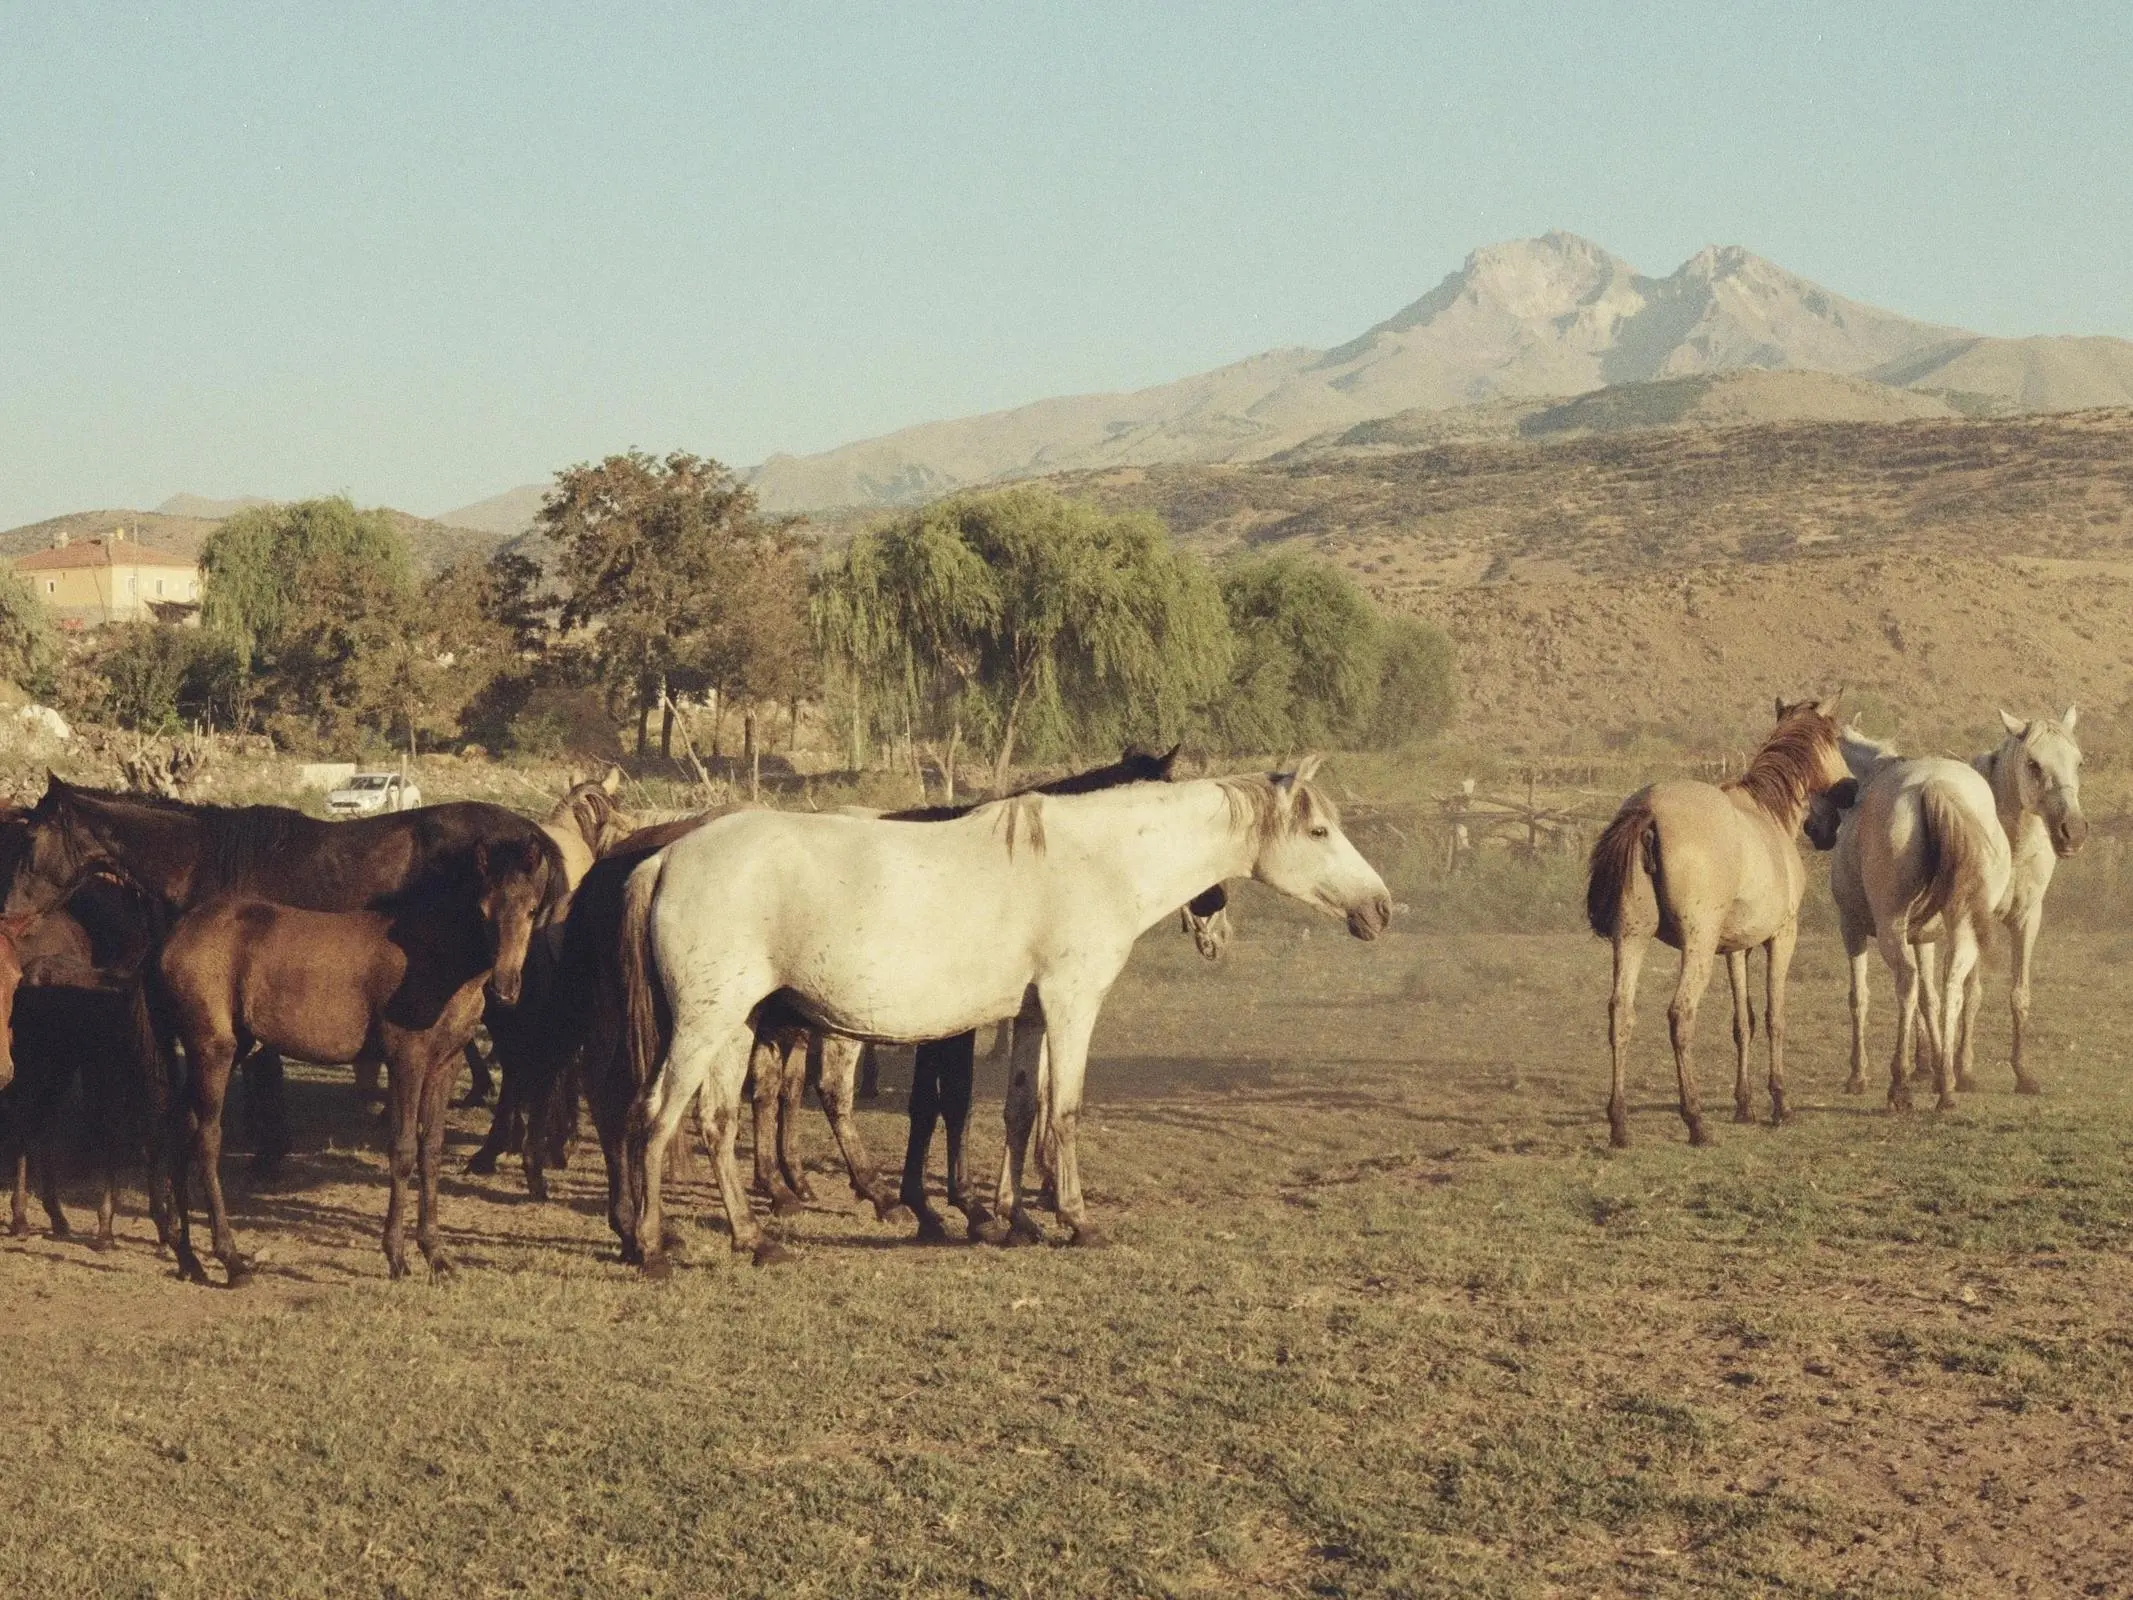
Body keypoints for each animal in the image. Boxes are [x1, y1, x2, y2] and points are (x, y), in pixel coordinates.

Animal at [161, 832, 554, 1288]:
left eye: (531, 909)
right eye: (482, 909)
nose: (506, 988)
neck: (433, 956)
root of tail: (175, 936)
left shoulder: (446, 1064)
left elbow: (432, 1150)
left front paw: (437, 1256)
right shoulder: (406, 1059)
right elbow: (403, 1149)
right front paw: (397, 1257)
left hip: (229, 1048)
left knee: (176, 1127)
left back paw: (188, 1256)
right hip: (213, 1050)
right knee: (206, 1140)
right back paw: (232, 1261)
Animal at [618, 759, 1390, 1271]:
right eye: (1319, 830)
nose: (1380, 908)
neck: (1098, 861)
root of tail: (665, 858)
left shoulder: (1031, 1017)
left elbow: (1021, 1111)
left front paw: (1012, 1218)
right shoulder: (1073, 1003)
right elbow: (1064, 1110)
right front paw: (1073, 1220)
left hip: (738, 1026)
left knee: (714, 1122)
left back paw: (752, 1238)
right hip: (706, 1024)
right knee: (656, 1115)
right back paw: (652, 1246)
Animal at [1586, 699, 1851, 1152]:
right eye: (1836, 740)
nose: (1825, 830)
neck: (1766, 812)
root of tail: (1649, 810)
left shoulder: (1736, 948)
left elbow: (1742, 1022)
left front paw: (1745, 1106)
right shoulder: (1781, 937)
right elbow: (1774, 1017)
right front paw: (1780, 1104)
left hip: (1631, 938)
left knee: (1621, 1012)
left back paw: (1620, 1126)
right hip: (1697, 947)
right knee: (1680, 1014)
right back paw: (1696, 1122)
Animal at [1817, 729, 2013, 1117]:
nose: (1813, 829)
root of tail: (1934, 786)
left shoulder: (1852, 927)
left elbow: (1859, 996)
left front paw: (1858, 1075)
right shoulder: (1924, 938)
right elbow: (1929, 998)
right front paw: (1937, 1067)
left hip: (1890, 928)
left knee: (1905, 983)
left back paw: (1899, 1086)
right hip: (1961, 931)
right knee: (1951, 988)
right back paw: (1947, 1088)